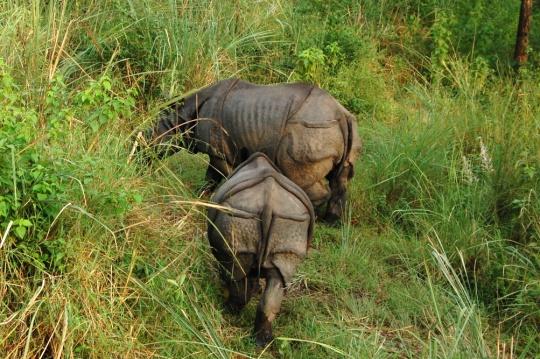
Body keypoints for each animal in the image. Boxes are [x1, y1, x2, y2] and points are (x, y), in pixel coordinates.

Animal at [146, 79, 360, 222]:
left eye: (150, 139)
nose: (142, 158)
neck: (182, 118)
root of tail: (342, 116)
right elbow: (216, 176)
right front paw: (200, 196)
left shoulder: (219, 152)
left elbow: (217, 175)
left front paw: (210, 200)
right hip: (337, 129)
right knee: (339, 180)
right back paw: (330, 222)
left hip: (310, 129)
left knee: (300, 177)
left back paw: (307, 216)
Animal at [208, 152, 316, 346]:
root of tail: (268, 202)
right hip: (290, 221)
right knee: (277, 279)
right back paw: (262, 342)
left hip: (238, 215)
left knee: (237, 271)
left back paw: (227, 311)